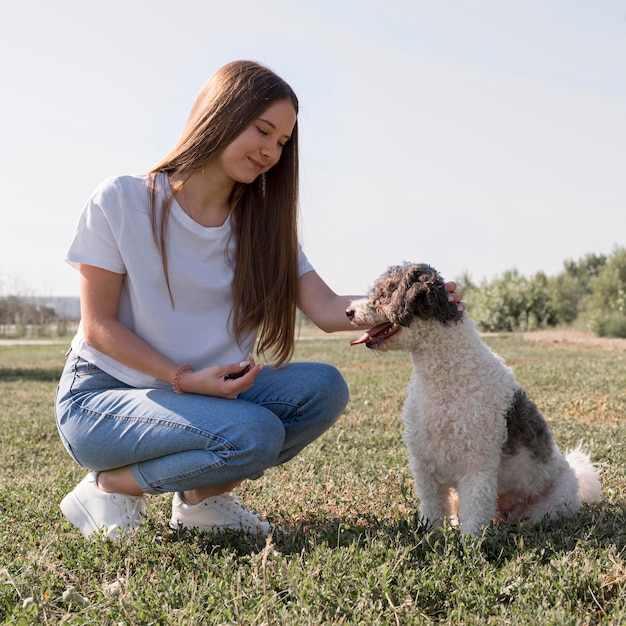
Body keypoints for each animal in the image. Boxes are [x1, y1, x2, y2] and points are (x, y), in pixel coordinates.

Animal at [346, 260, 600, 532]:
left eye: (384, 294)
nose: (348, 311)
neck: (445, 379)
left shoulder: (477, 466)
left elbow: (474, 515)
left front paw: (468, 543)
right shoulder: (424, 464)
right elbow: (432, 508)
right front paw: (429, 534)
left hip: (550, 503)